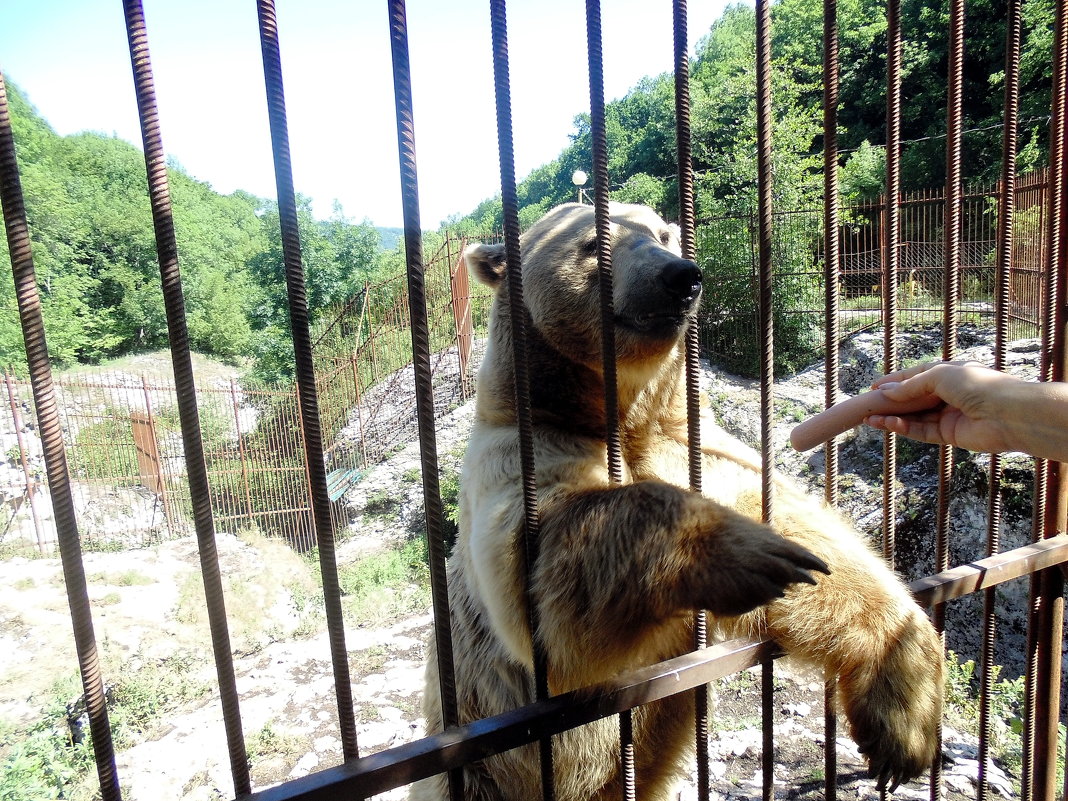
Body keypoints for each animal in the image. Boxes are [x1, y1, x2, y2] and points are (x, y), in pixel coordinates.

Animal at [410, 203, 944, 801]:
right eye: (595, 242)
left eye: (663, 234)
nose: (679, 276)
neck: (621, 412)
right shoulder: (520, 453)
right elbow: (540, 569)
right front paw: (744, 554)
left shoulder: (686, 441)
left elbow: (802, 528)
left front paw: (902, 722)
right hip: (478, 772)